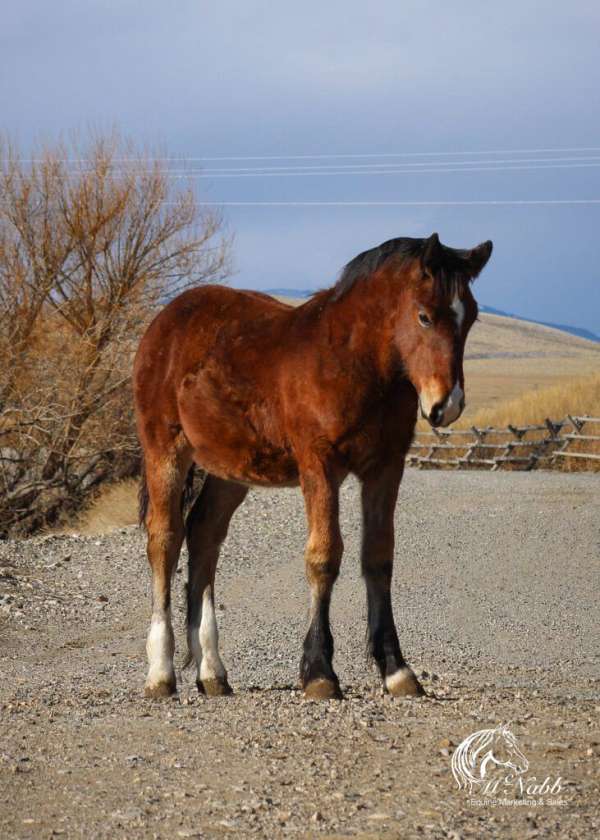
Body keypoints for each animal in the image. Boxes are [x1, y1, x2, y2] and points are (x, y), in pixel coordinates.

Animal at [135, 233, 492, 700]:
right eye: (424, 316)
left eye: (471, 317)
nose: (446, 406)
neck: (352, 360)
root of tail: (164, 321)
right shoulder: (319, 467)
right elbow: (324, 556)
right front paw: (320, 671)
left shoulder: (385, 468)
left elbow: (378, 556)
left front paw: (396, 670)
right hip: (165, 451)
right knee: (165, 539)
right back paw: (161, 672)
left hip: (230, 471)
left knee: (204, 536)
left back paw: (212, 671)